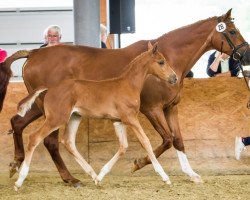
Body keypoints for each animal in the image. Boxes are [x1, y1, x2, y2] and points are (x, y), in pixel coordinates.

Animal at [14, 43, 177, 190]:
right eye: (161, 61)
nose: (174, 78)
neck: (128, 85)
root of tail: (50, 88)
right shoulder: (130, 118)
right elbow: (146, 142)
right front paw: (165, 178)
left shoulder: (117, 121)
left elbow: (123, 146)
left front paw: (101, 175)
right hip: (56, 118)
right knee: (34, 138)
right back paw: (19, 181)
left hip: (74, 117)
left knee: (68, 141)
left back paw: (92, 175)